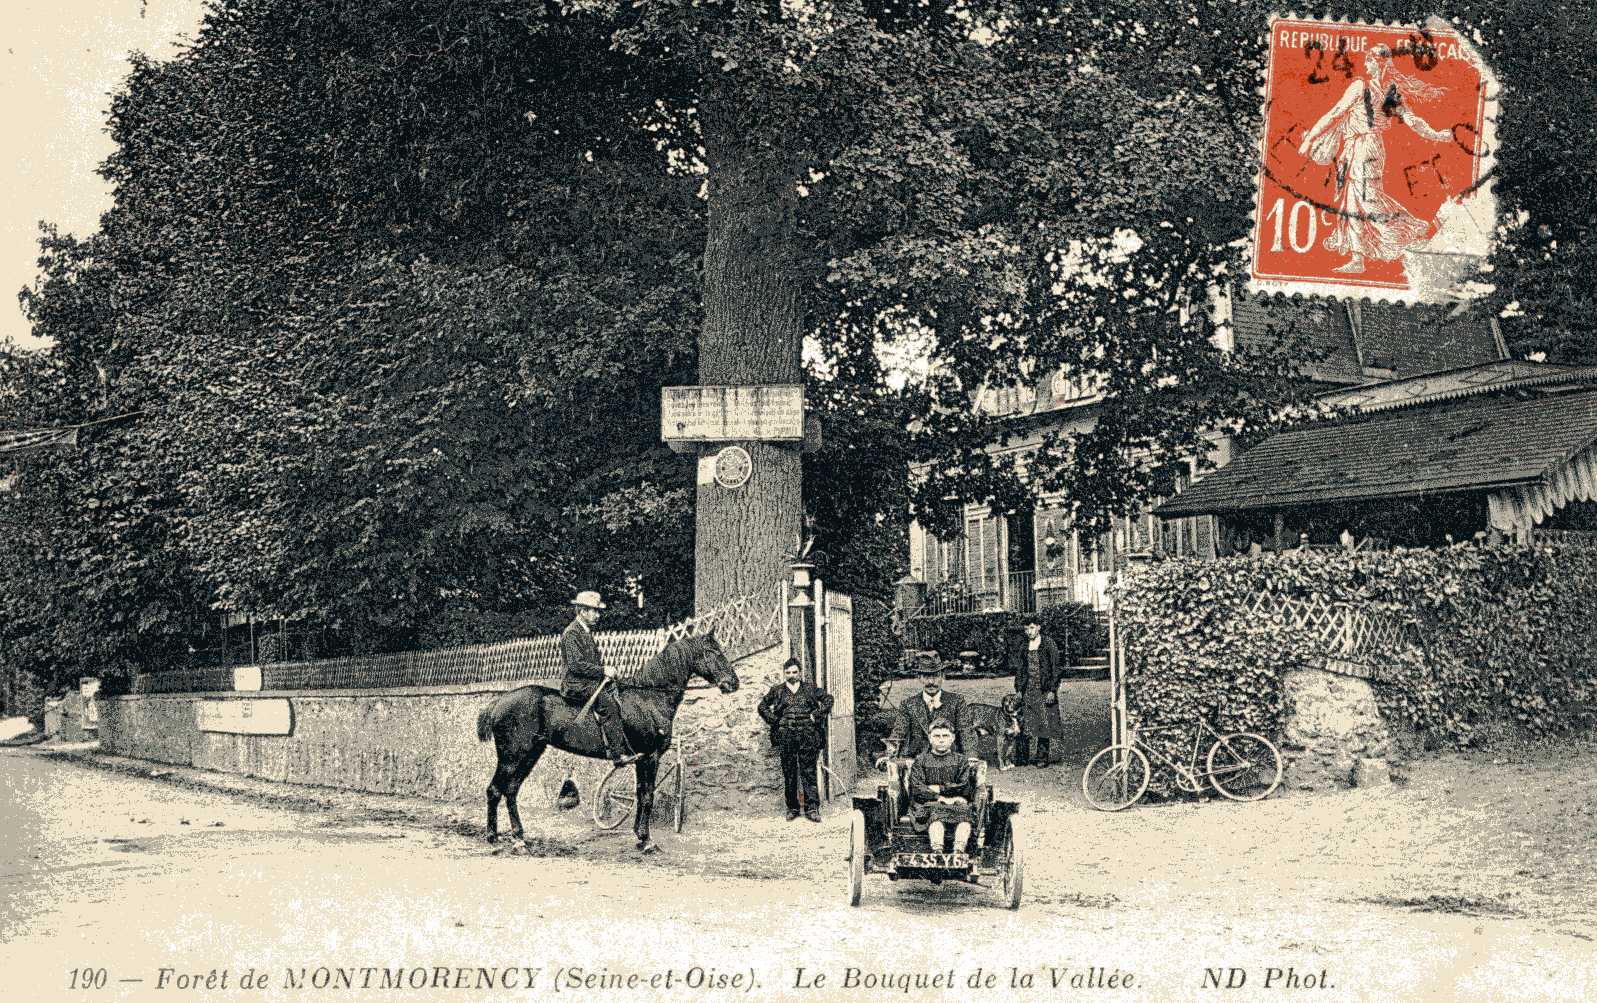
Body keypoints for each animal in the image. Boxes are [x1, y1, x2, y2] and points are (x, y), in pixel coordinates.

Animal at [472, 635, 741, 856]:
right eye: (713, 651)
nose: (733, 683)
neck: (649, 698)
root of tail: (499, 702)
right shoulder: (650, 757)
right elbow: (647, 797)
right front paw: (647, 841)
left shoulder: (641, 759)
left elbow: (641, 794)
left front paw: (639, 837)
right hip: (512, 756)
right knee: (495, 790)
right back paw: (496, 838)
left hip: (530, 754)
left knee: (511, 790)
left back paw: (519, 838)